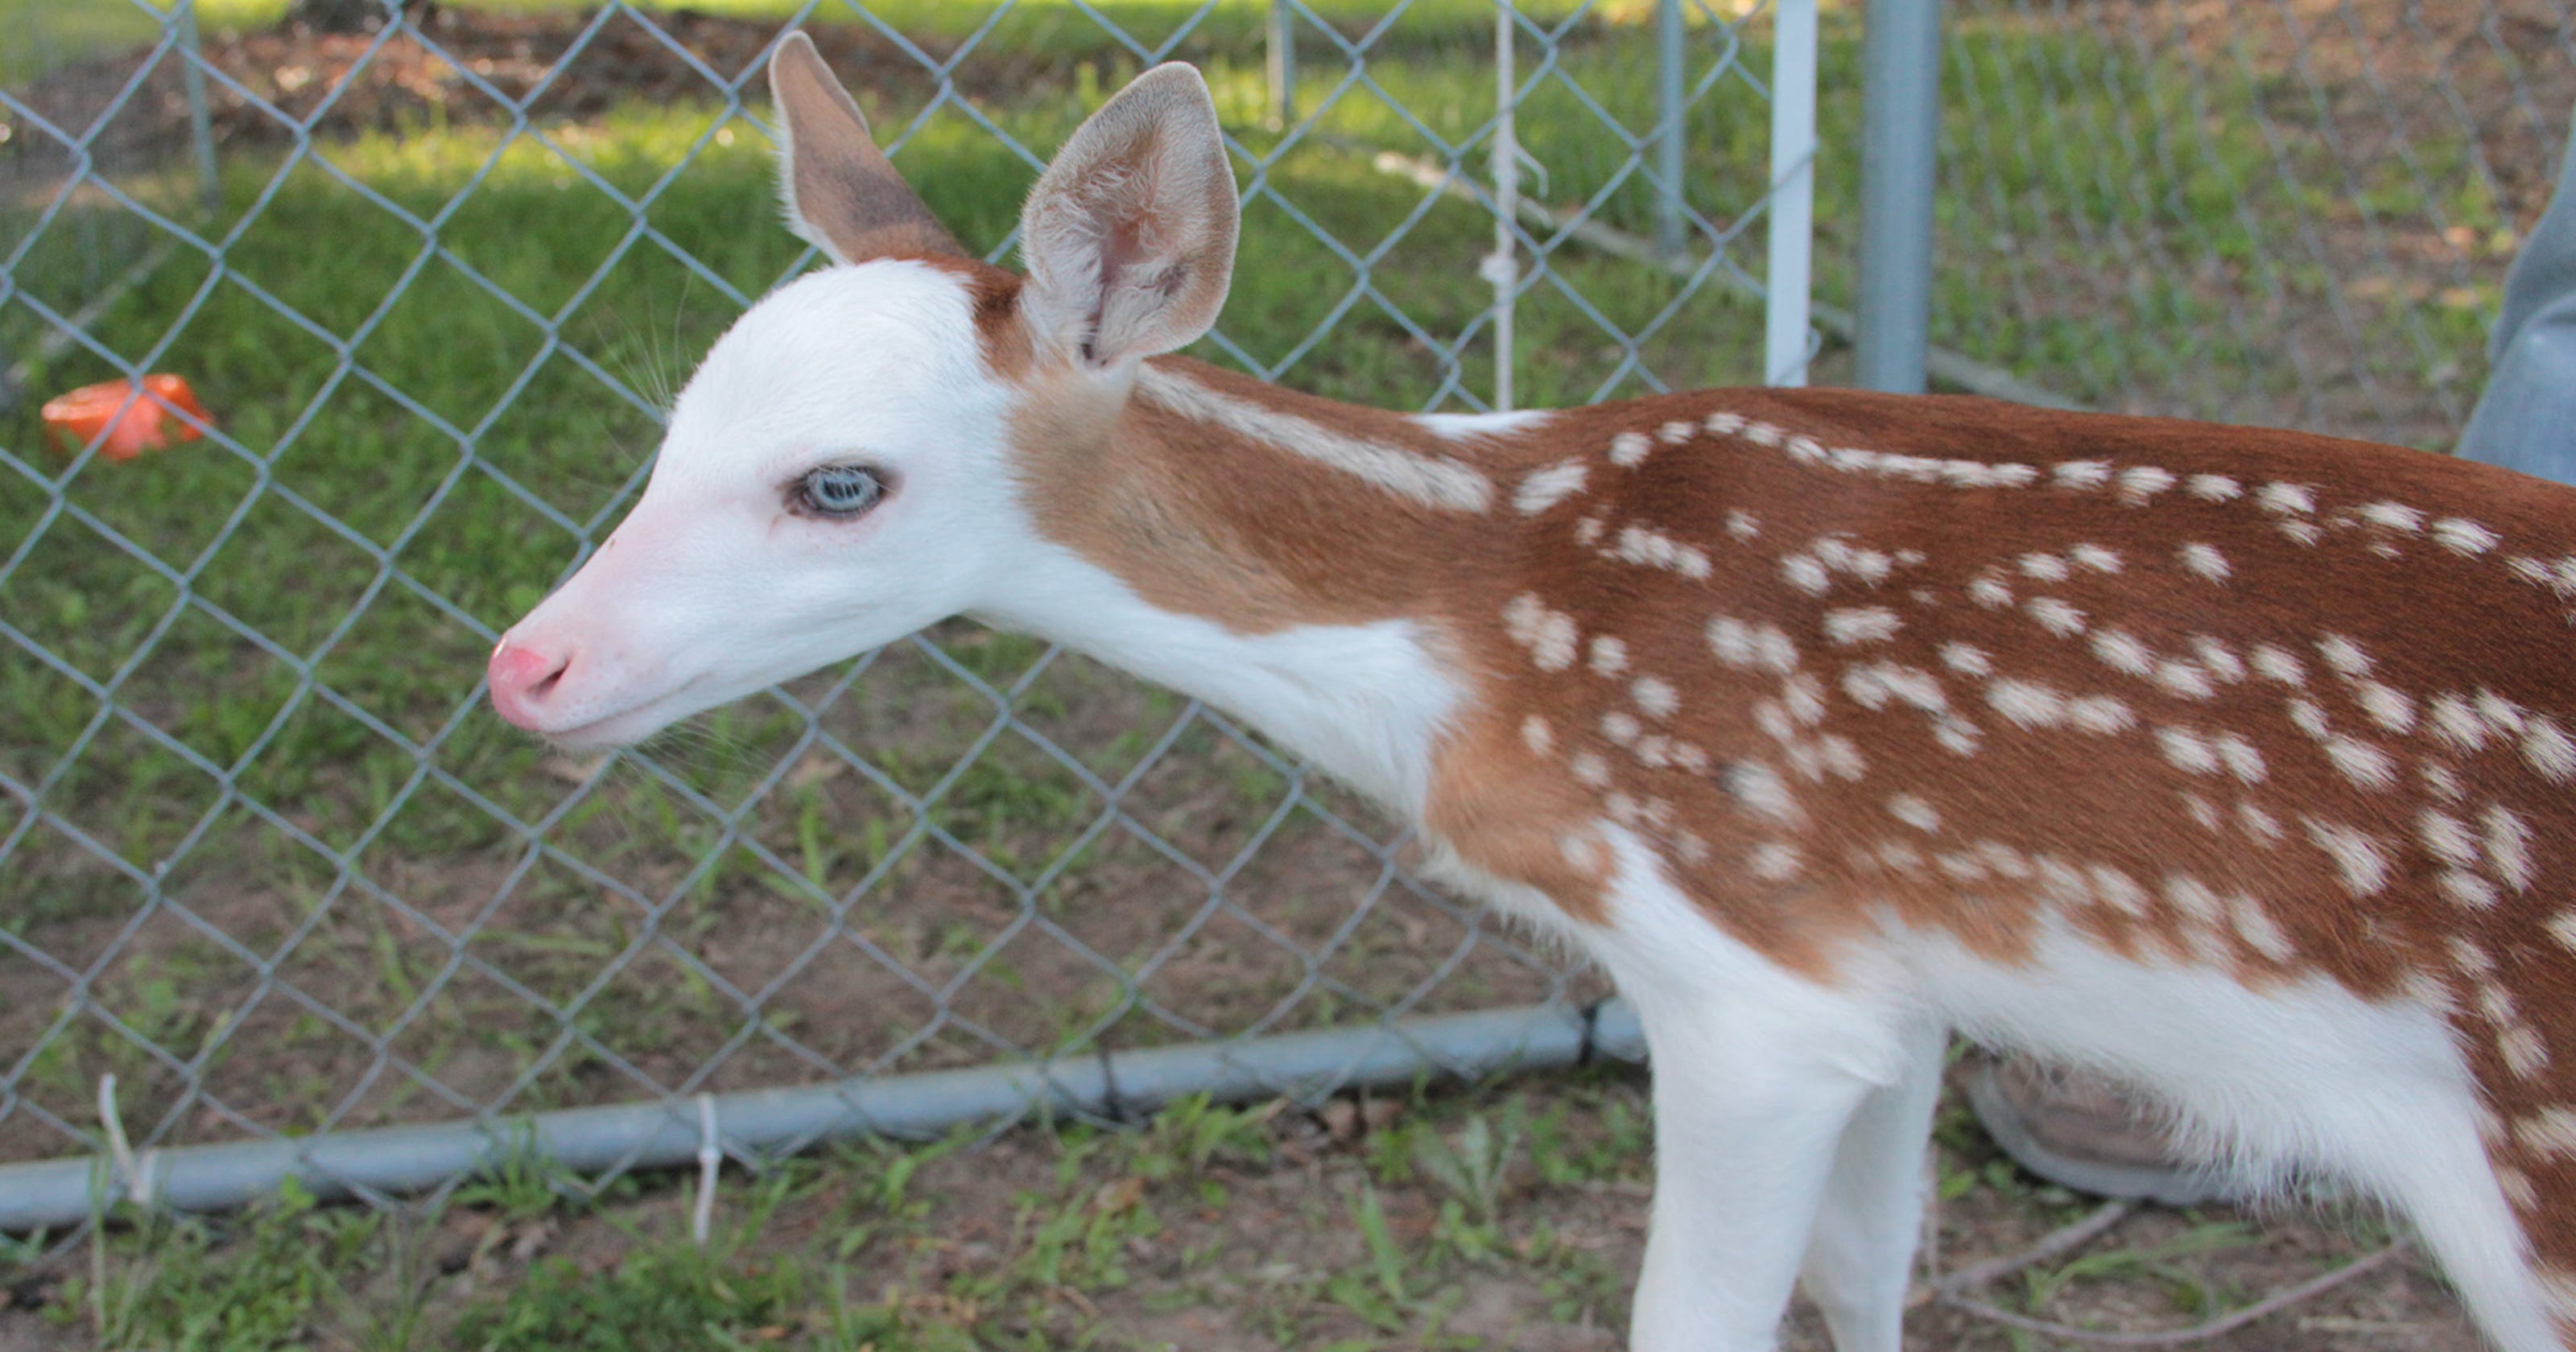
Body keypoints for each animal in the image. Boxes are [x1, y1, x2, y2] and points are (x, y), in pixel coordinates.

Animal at [485, 36, 2576, 1352]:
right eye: (672, 428)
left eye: (840, 484)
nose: (528, 666)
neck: (1474, 623)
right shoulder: (1896, 973)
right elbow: (1870, 1280)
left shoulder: (1743, 974)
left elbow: (1692, 1320)